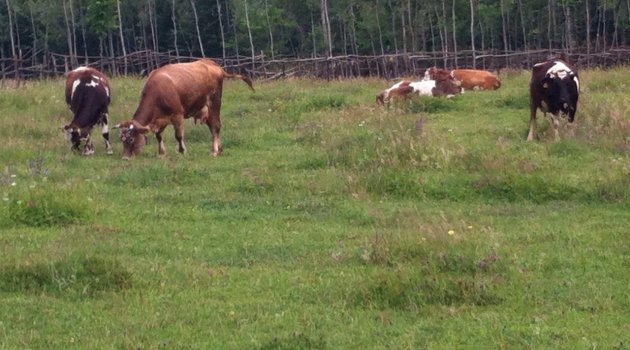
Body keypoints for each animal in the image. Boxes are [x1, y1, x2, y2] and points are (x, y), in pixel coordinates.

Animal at [113, 59, 254, 160]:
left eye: (131, 139)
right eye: (121, 139)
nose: (125, 158)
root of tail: (212, 64)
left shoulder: (177, 115)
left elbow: (178, 135)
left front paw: (182, 151)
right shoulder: (161, 119)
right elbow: (158, 135)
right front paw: (161, 153)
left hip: (214, 103)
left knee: (216, 126)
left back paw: (214, 151)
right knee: (213, 128)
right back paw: (219, 149)